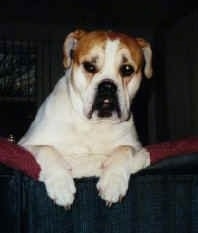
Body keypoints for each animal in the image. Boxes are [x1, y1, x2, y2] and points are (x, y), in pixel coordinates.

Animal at [18, 29, 153, 208]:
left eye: (127, 69)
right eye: (89, 66)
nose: (107, 86)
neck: (93, 123)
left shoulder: (135, 146)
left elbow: (123, 149)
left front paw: (113, 181)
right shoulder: (27, 144)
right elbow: (48, 149)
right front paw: (61, 184)